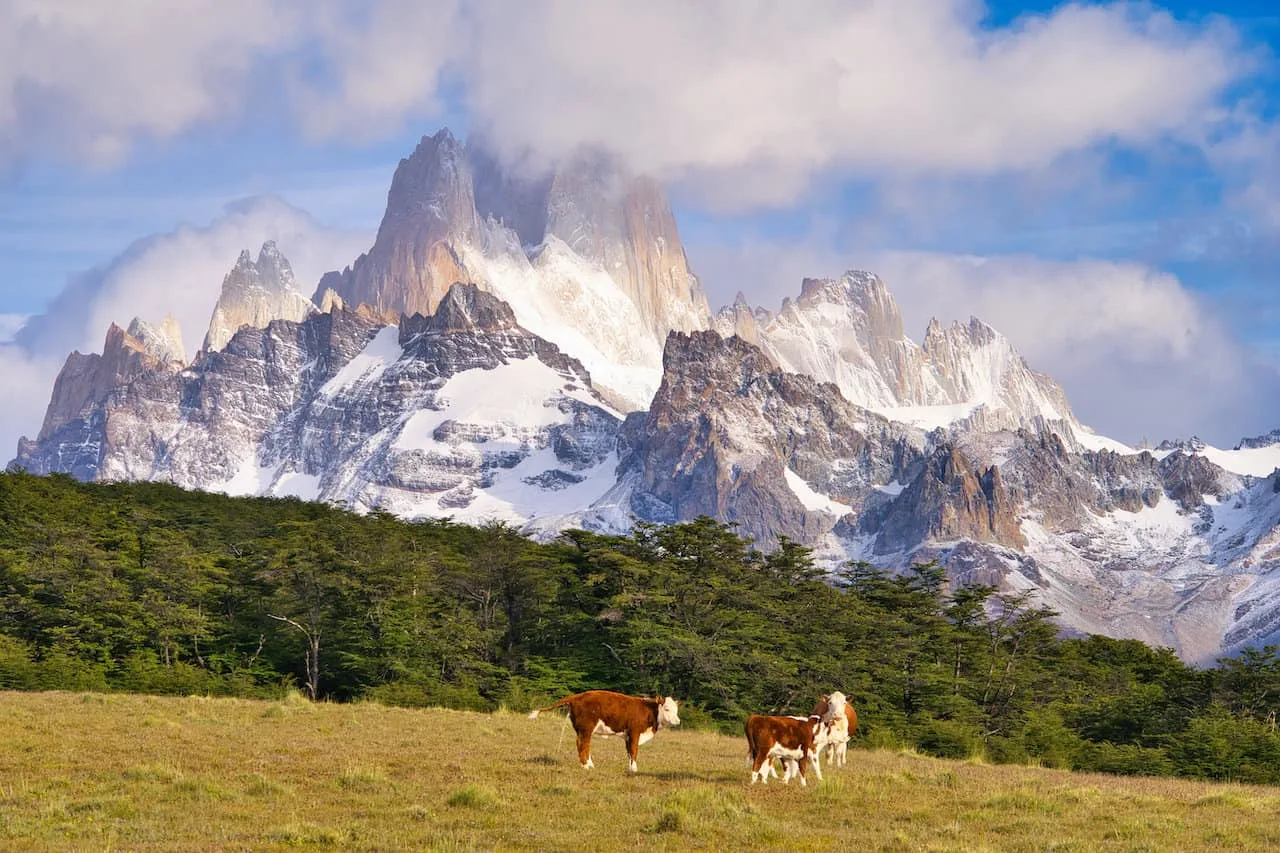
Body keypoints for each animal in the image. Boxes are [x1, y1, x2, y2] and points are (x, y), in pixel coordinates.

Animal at [524, 686, 680, 768]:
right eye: (667, 709)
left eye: (676, 709)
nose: (678, 721)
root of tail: (576, 696)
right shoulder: (635, 732)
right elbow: (634, 751)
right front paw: (634, 769)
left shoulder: (627, 735)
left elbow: (629, 752)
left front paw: (630, 768)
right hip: (586, 728)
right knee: (583, 744)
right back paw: (586, 765)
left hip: (581, 729)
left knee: (583, 744)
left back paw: (590, 764)